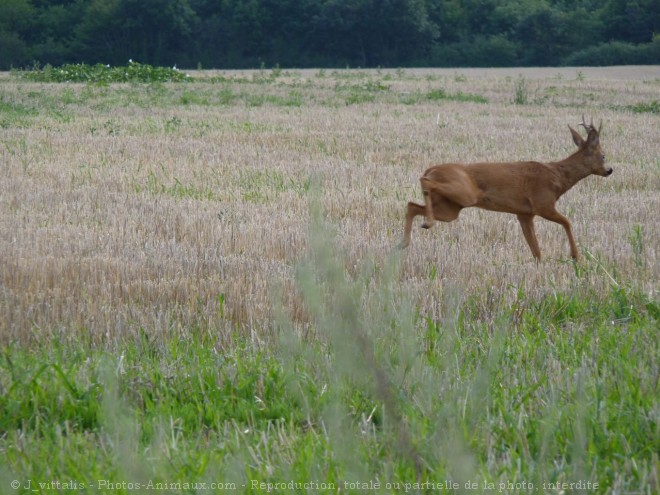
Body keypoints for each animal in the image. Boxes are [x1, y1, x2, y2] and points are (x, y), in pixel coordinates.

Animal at [402, 118, 612, 262]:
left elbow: (536, 250)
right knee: (424, 183)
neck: (558, 177)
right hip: (465, 194)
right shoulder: (543, 203)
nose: (609, 170)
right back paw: (426, 223)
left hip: (450, 208)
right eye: (603, 155)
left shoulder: (524, 214)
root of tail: (431, 169)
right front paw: (575, 256)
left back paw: (404, 242)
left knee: (412, 205)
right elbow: (567, 222)